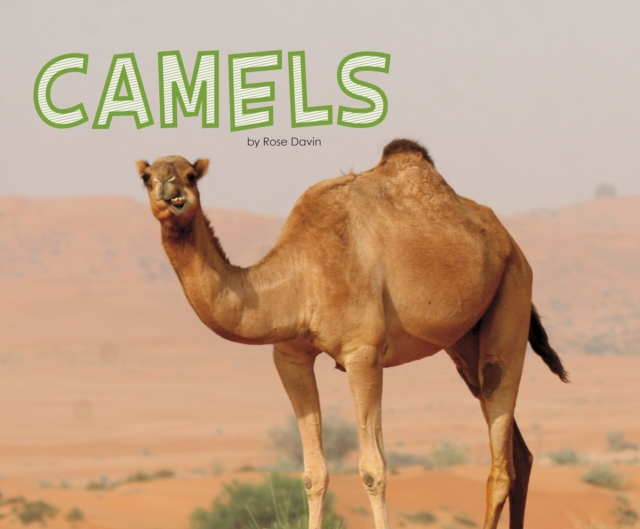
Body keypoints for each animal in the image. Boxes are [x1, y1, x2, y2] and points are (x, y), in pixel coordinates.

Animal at [136, 139, 568, 529]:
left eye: (191, 175)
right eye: (146, 176)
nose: (170, 191)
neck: (302, 275)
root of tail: (508, 240)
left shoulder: (363, 353)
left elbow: (373, 469)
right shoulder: (289, 356)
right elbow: (313, 473)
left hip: (513, 290)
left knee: (500, 443)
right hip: (464, 340)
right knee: (517, 450)